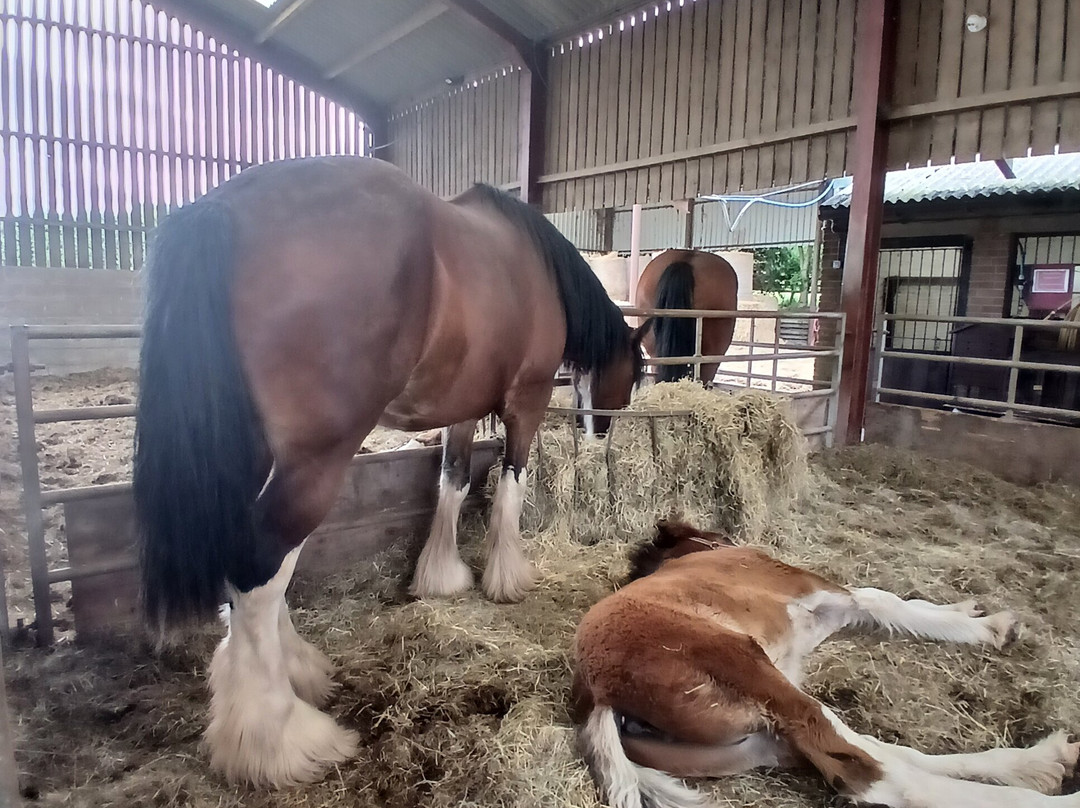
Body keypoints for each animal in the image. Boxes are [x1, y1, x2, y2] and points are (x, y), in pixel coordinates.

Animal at [132, 155, 644, 787]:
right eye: (636, 374)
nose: (600, 434)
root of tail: (220, 209)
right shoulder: (525, 402)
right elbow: (509, 487)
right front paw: (506, 578)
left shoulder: (462, 409)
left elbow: (452, 481)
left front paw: (440, 575)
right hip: (317, 460)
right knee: (260, 565)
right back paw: (278, 739)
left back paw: (298, 672)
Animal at [572, 520, 1080, 808]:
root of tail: (599, 697)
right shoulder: (829, 592)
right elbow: (887, 600)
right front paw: (991, 625)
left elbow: (895, 606)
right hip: (760, 682)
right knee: (873, 774)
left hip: (759, 738)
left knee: (878, 754)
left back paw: (1044, 761)